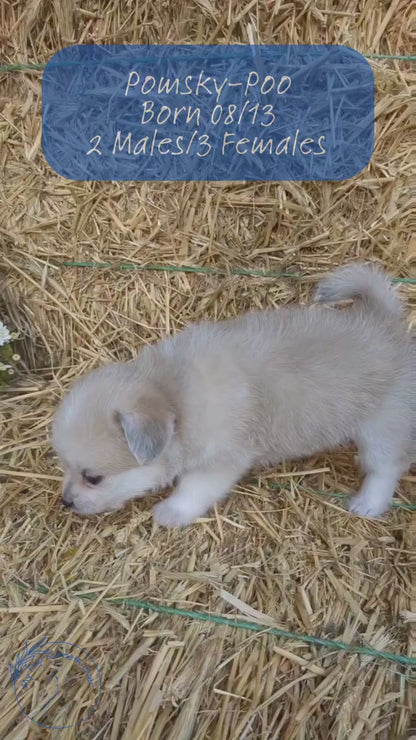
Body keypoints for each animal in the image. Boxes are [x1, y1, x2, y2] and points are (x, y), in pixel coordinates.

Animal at [52, 262, 416, 528]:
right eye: (64, 464)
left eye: (93, 478)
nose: (65, 502)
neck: (176, 396)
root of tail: (384, 323)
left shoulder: (222, 461)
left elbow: (192, 489)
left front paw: (171, 512)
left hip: (381, 430)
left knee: (386, 467)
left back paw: (368, 504)